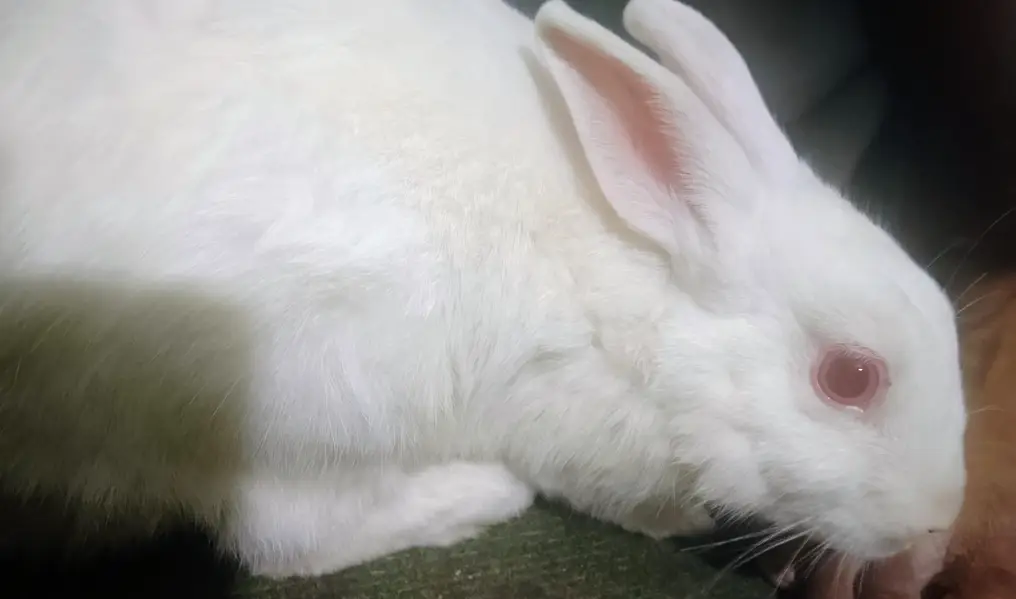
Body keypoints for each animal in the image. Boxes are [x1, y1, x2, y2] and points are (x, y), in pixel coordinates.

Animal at [0, 0, 966, 580]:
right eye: (849, 377)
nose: (938, 520)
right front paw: (680, 519)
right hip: (323, 390)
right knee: (285, 534)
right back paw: (476, 495)